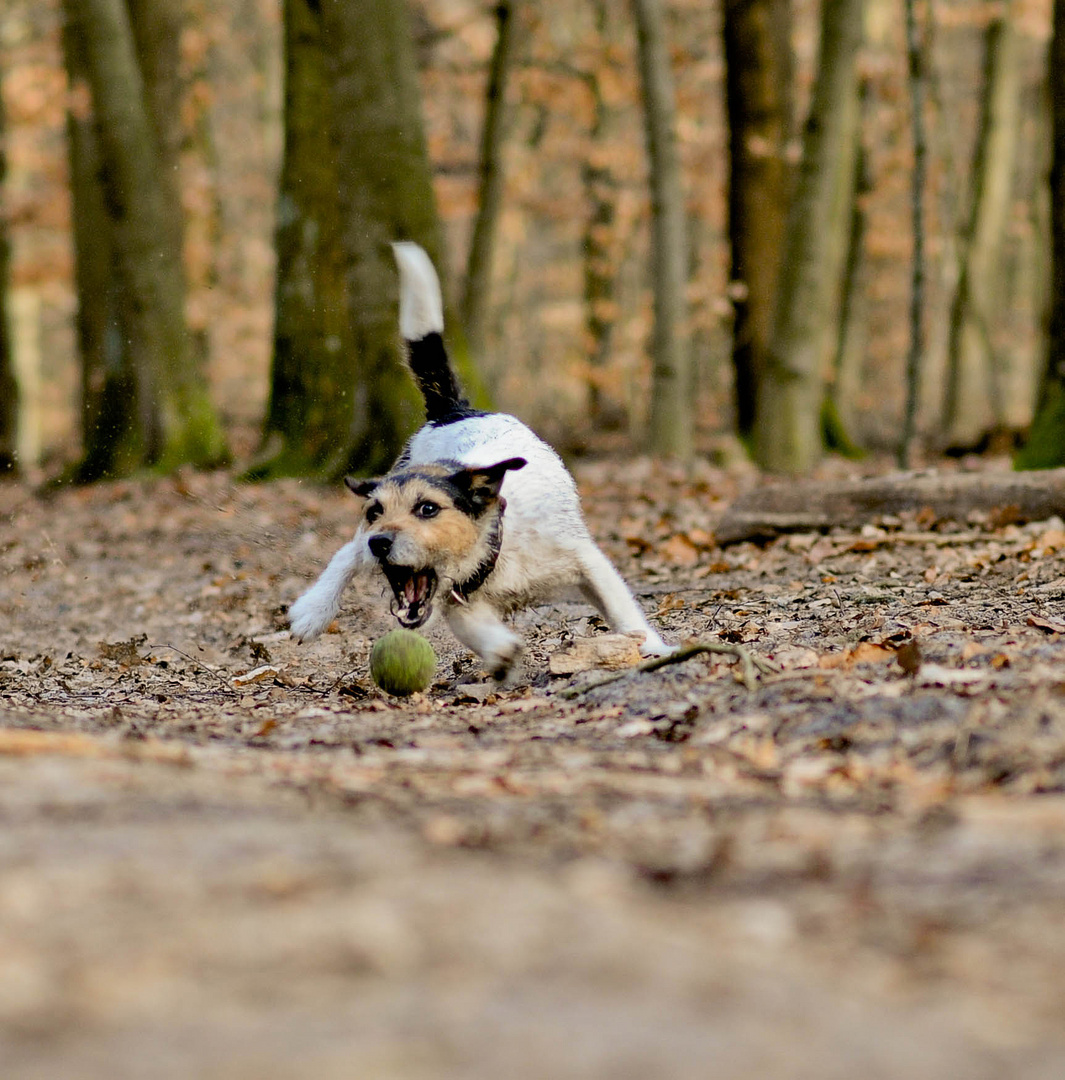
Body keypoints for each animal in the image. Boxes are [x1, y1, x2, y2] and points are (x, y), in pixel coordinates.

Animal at [289, 245, 673, 673]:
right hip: (363, 544)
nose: (381, 541)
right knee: (349, 552)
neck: (498, 541)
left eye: (427, 509)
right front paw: (501, 649)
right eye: (375, 511)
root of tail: (453, 409)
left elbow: (621, 609)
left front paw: (653, 647)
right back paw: (312, 611)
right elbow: (475, 628)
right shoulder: (458, 600)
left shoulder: (586, 561)